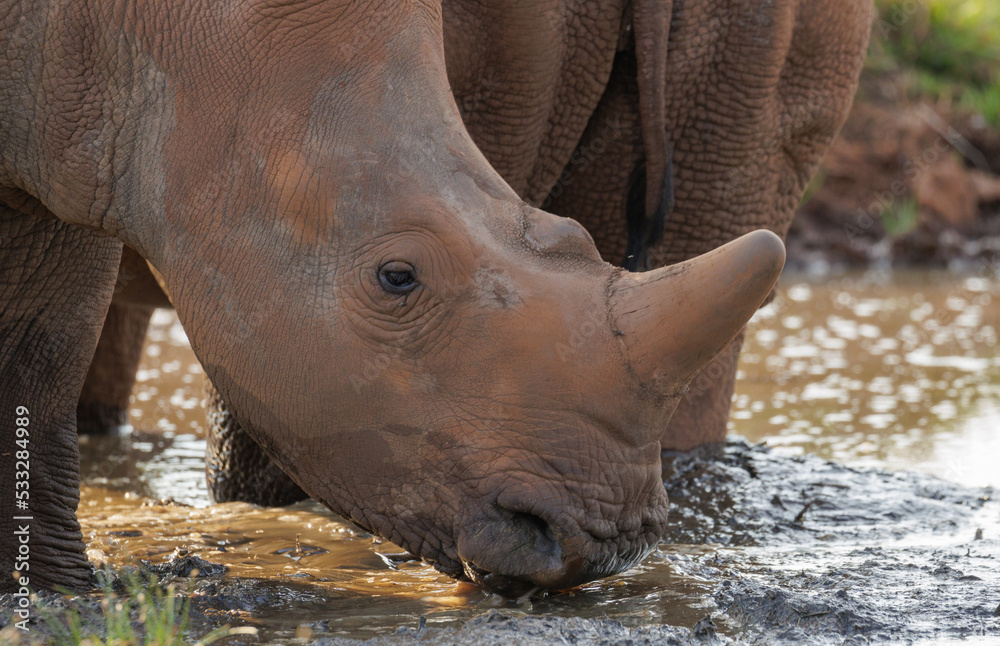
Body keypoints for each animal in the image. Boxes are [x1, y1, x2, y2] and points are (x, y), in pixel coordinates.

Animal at [1, 0, 870, 595]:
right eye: (398, 278)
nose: (606, 545)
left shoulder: (79, 130)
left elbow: (45, 346)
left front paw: (55, 593)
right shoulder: (72, 127)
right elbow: (44, 342)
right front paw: (56, 592)